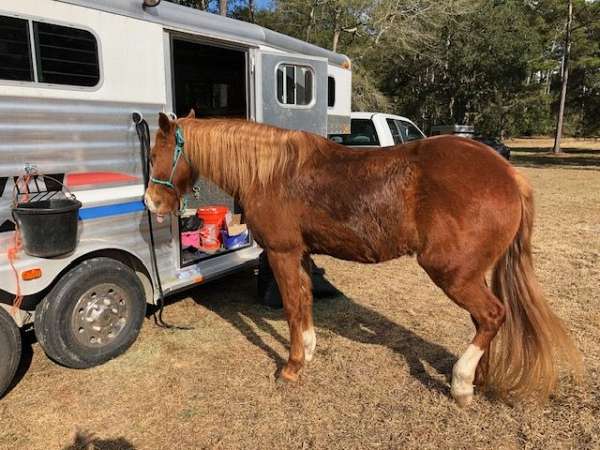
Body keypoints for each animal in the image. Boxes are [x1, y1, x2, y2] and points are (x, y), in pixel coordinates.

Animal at [145, 111, 580, 404]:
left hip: (452, 272)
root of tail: (508, 173)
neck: (272, 172)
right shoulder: (302, 254)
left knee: (491, 316)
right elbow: (305, 303)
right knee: (485, 320)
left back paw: (461, 384)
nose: (151, 203)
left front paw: (292, 367)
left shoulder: (283, 253)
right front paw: (309, 352)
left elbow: (292, 307)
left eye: (154, 154)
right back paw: (478, 378)